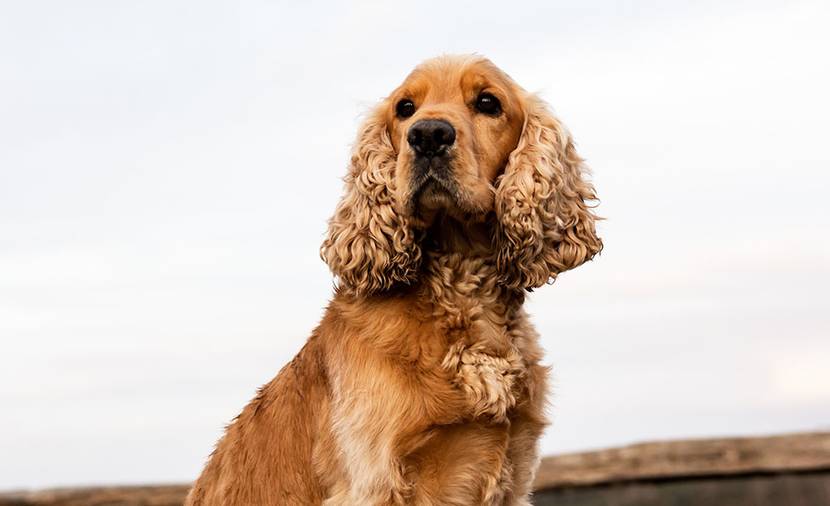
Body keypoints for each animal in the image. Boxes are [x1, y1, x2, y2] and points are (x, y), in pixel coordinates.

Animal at [187, 55, 604, 506]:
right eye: (405, 108)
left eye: (488, 102)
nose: (428, 135)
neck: (463, 290)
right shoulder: (374, 480)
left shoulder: (514, 469)